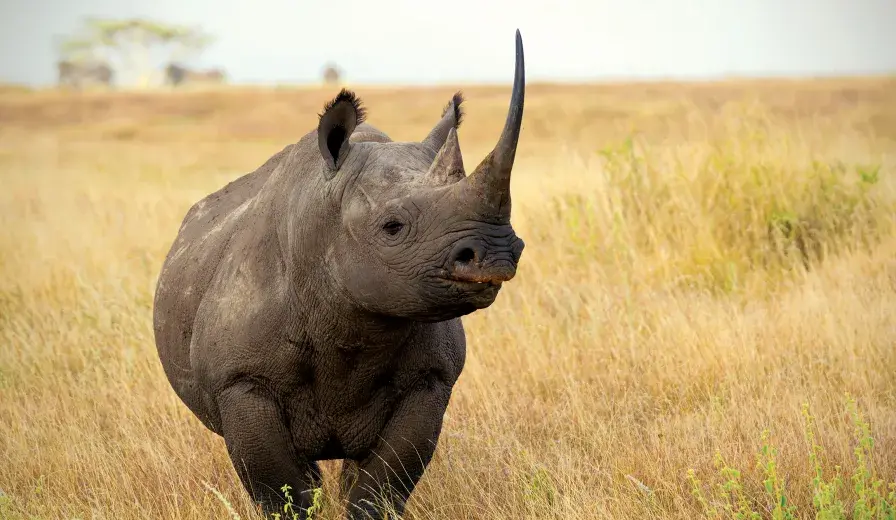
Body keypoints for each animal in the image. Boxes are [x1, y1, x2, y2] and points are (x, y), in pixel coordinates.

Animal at [153, 30, 526, 519]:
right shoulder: (241, 381)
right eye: (392, 227)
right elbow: (281, 490)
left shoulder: (430, 378)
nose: (498, 252)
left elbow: (380, 486)